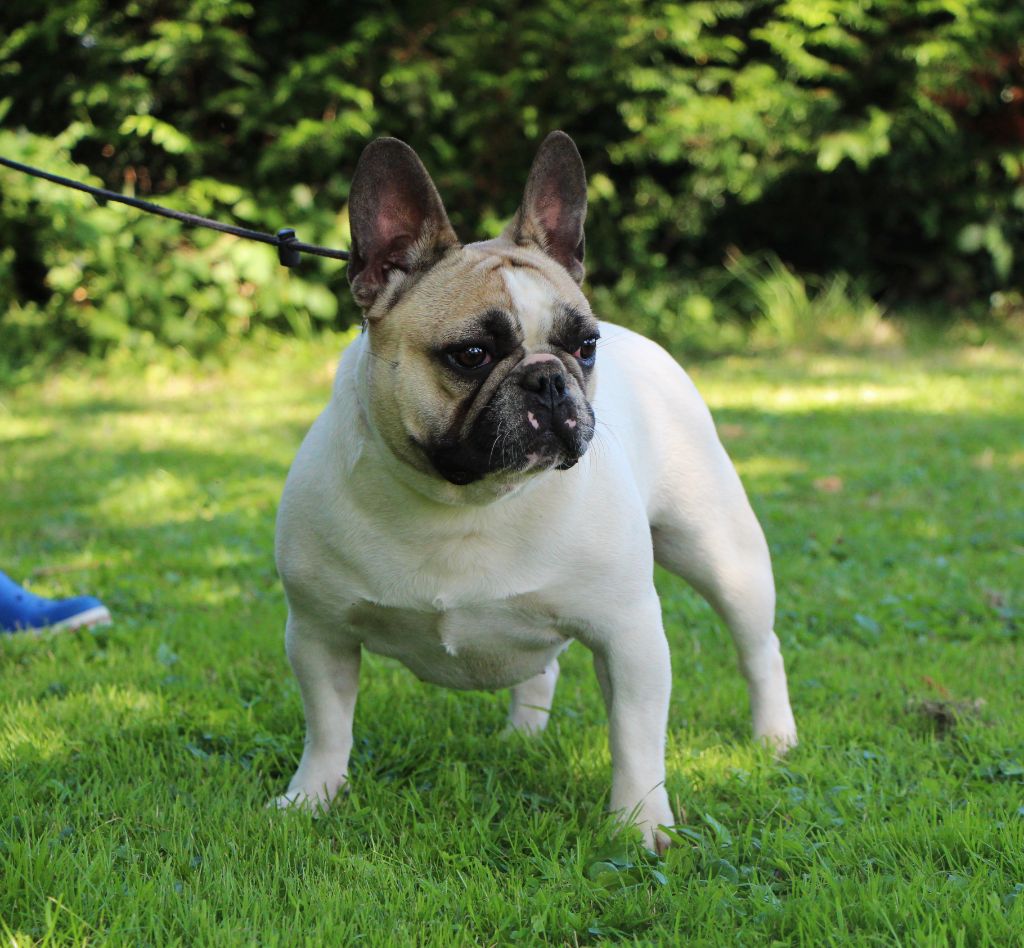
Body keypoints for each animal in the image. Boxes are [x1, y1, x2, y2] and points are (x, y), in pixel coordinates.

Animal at [274, 130, 798, 851]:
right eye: (470, 355)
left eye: (585, 347)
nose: (550, 378)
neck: (465, 503)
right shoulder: (319, 631)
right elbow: (328, 726)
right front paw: (312, 798)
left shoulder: (628, 632)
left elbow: (636, 737)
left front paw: (639, 824)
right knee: (541, 668)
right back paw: (523, 737)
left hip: (722, 552)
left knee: (758, 647)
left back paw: (775, 739)